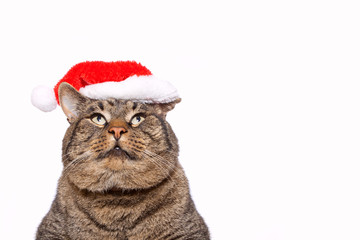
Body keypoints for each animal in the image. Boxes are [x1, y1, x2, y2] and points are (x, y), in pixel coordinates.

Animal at [35, 83, 210, 240]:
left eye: (137, 118)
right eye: (98, 118)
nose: (117, 130)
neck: (118, 201)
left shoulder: (190, 230)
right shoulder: (51, 229)